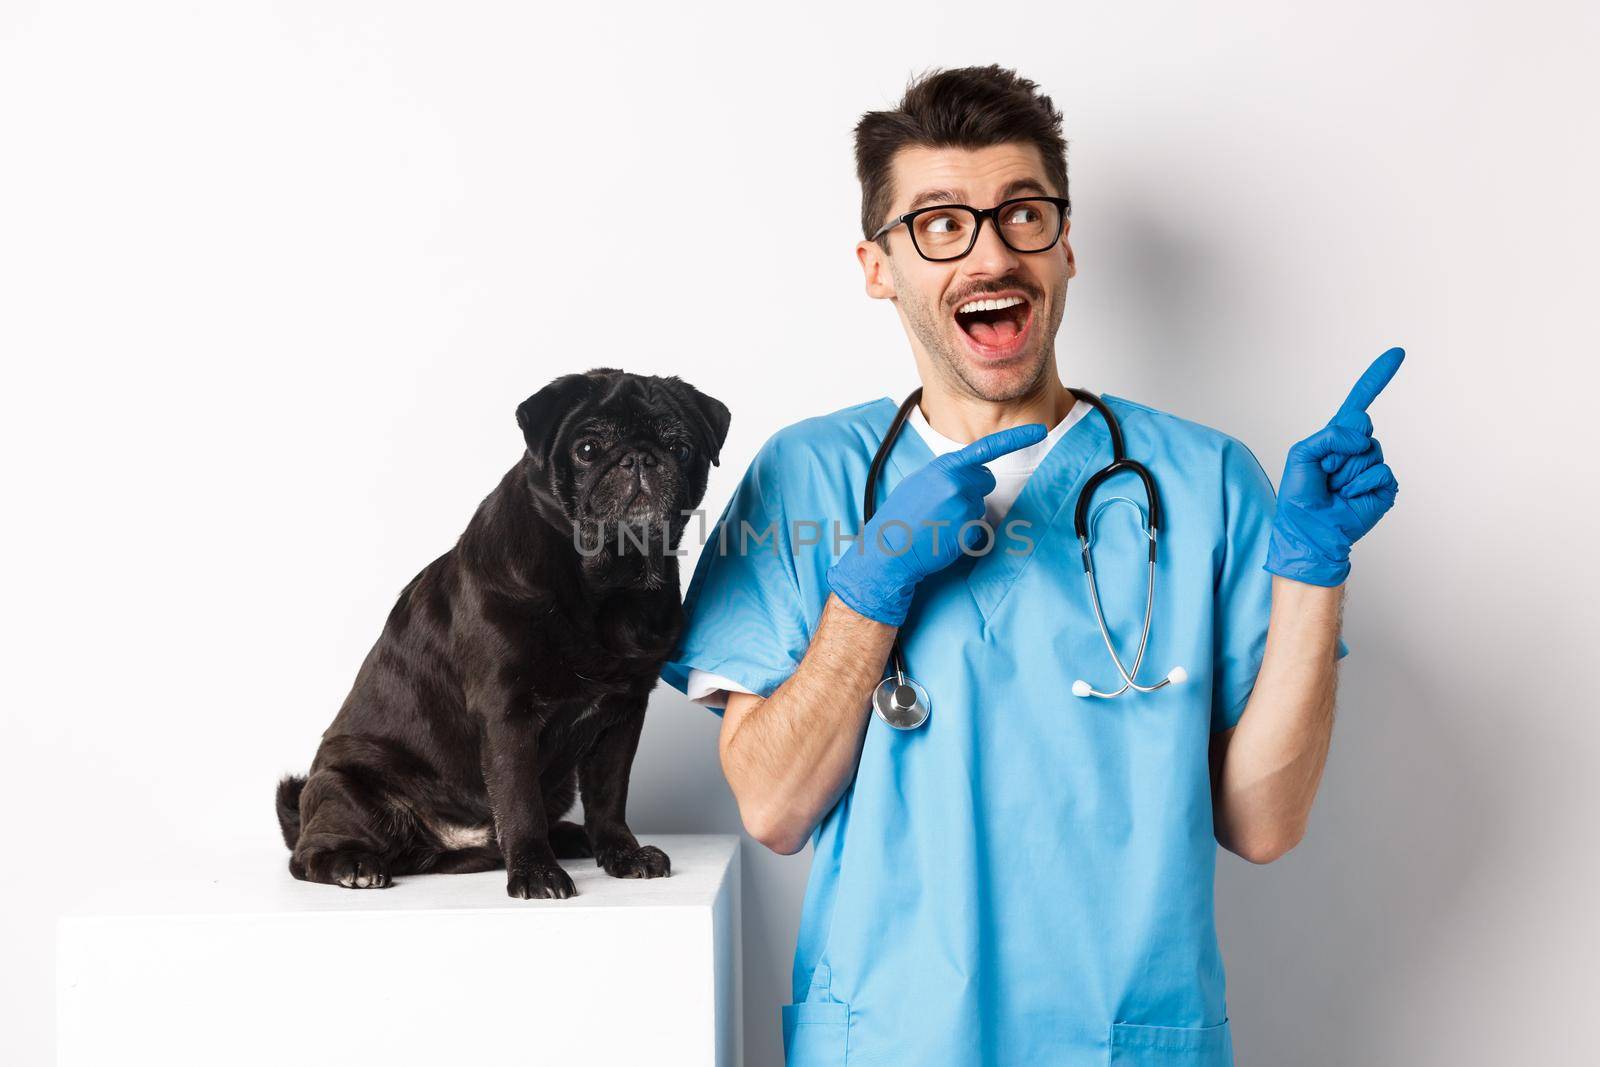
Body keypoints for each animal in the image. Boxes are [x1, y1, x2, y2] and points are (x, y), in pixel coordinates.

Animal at [276, 371, 732, 895]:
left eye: (680, 448)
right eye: (588, 449)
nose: (638, 457)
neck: (604, 582)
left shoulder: (622, 715)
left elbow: (609, 797)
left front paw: (622, 853)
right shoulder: (507, 714)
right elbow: (519, 801)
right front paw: (535, 871)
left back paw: (570, 838)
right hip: (346, 788)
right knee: (307, 854)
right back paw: (354, 865)